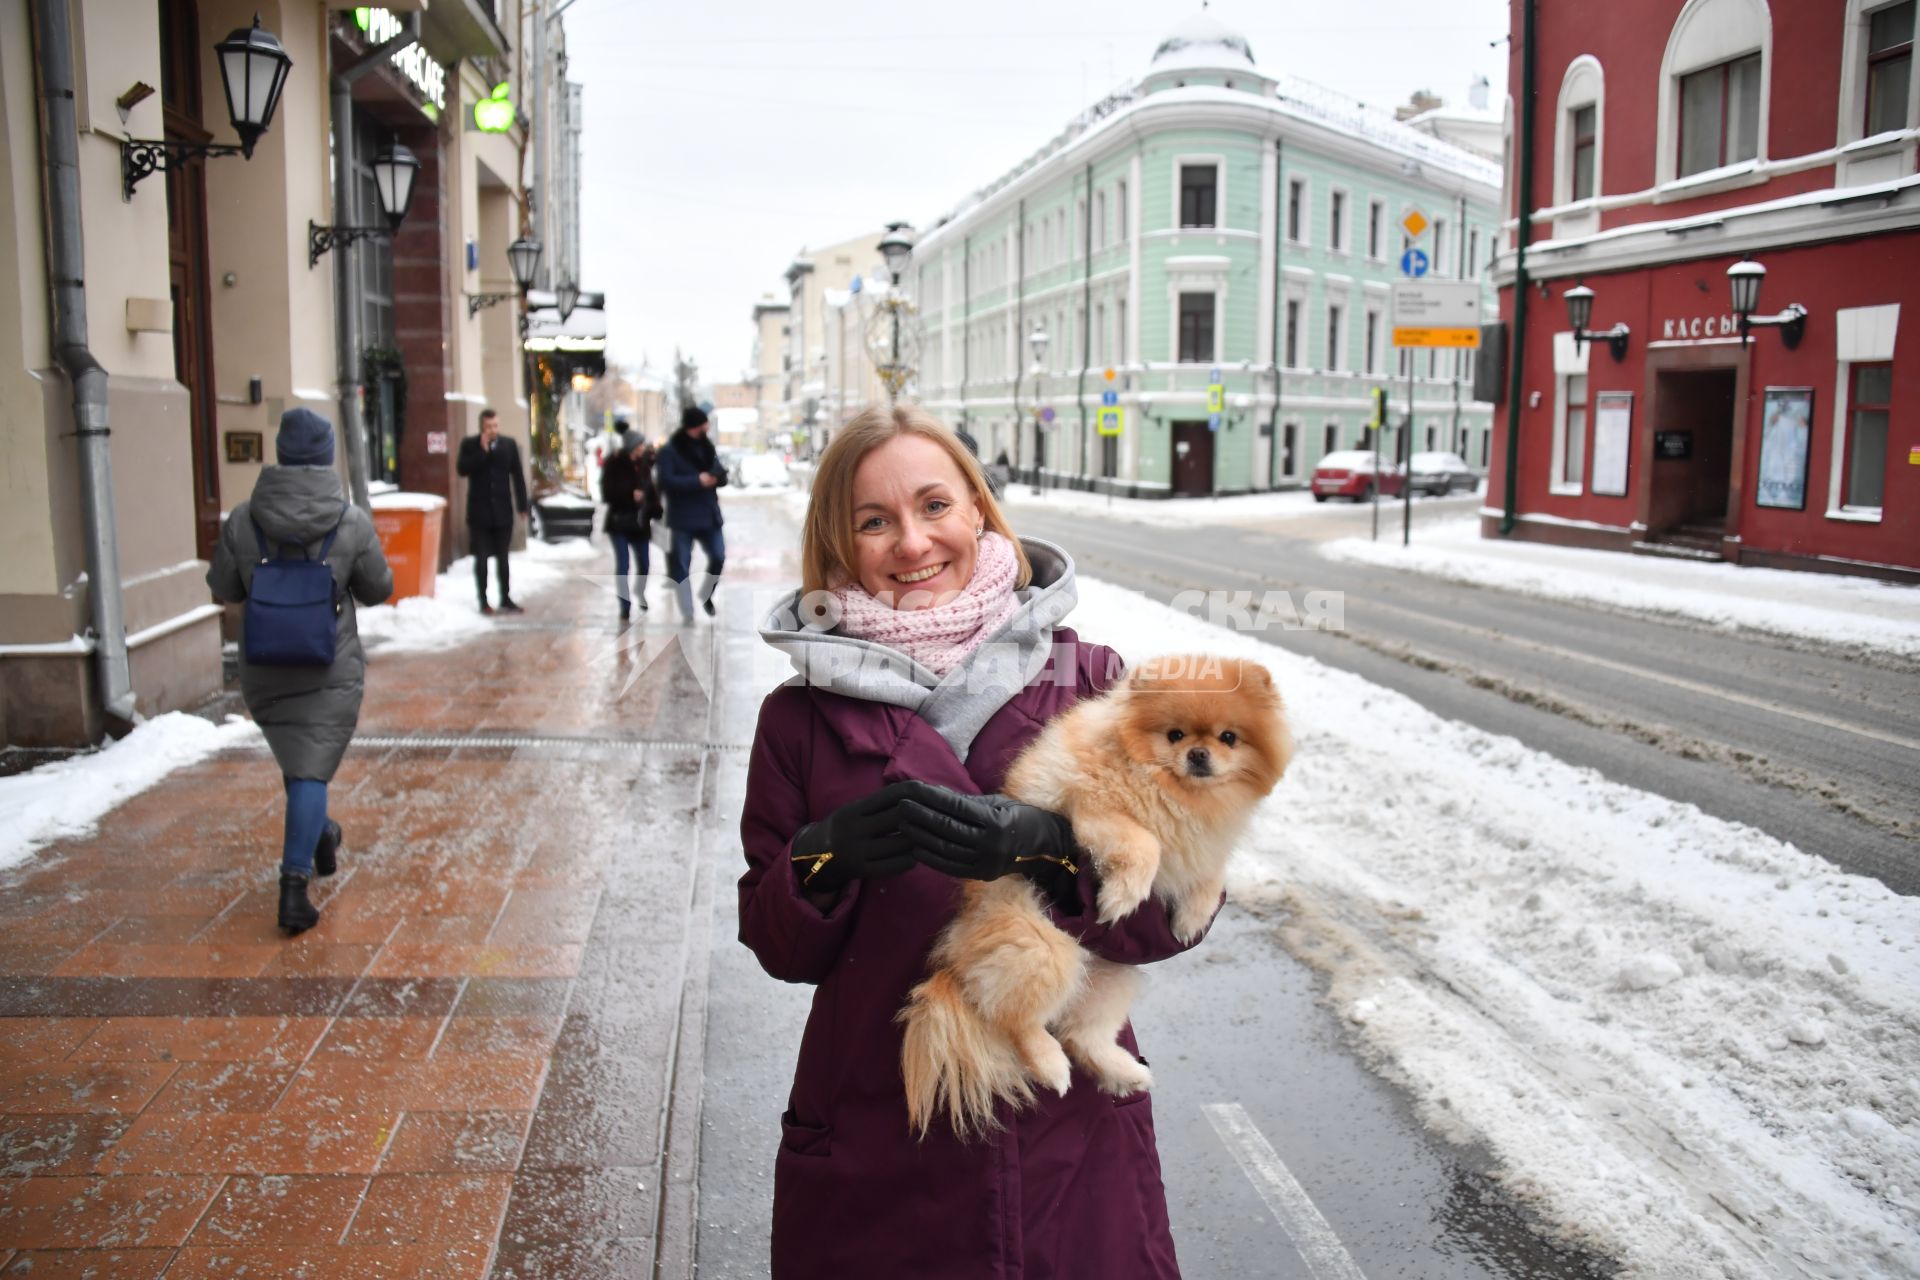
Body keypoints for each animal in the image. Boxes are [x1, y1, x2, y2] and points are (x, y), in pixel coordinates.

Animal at [894, 656, 1290, 1136]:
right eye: (1175, 735)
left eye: (1228, 737)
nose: (1198, 754)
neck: (1177, 792)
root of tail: (955, 962)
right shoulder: (1091, 812)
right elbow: (1143, 844)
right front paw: (1123, 895)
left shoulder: (1203, 848)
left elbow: (1209, 878)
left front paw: (1191, 918)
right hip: (1043, 949)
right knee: (1015, 1020)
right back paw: (1050, 1064)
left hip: (1113, 974)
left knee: (1080, 1034)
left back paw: (1123, 1071)